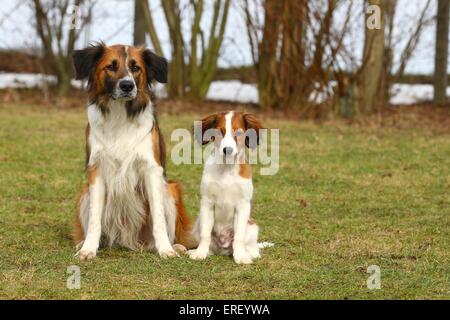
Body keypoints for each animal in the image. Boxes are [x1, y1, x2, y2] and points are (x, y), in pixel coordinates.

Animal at [72, 43, 192, 260]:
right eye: (111, 66)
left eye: (136, 68)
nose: (127, 85)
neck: (120, 115)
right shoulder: (97, 171)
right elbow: (94, 218)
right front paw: (88, 249)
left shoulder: (152, 170)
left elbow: (158, 217)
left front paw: (166, 249)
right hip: (84, 194)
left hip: (170, 190)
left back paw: (175, 246)